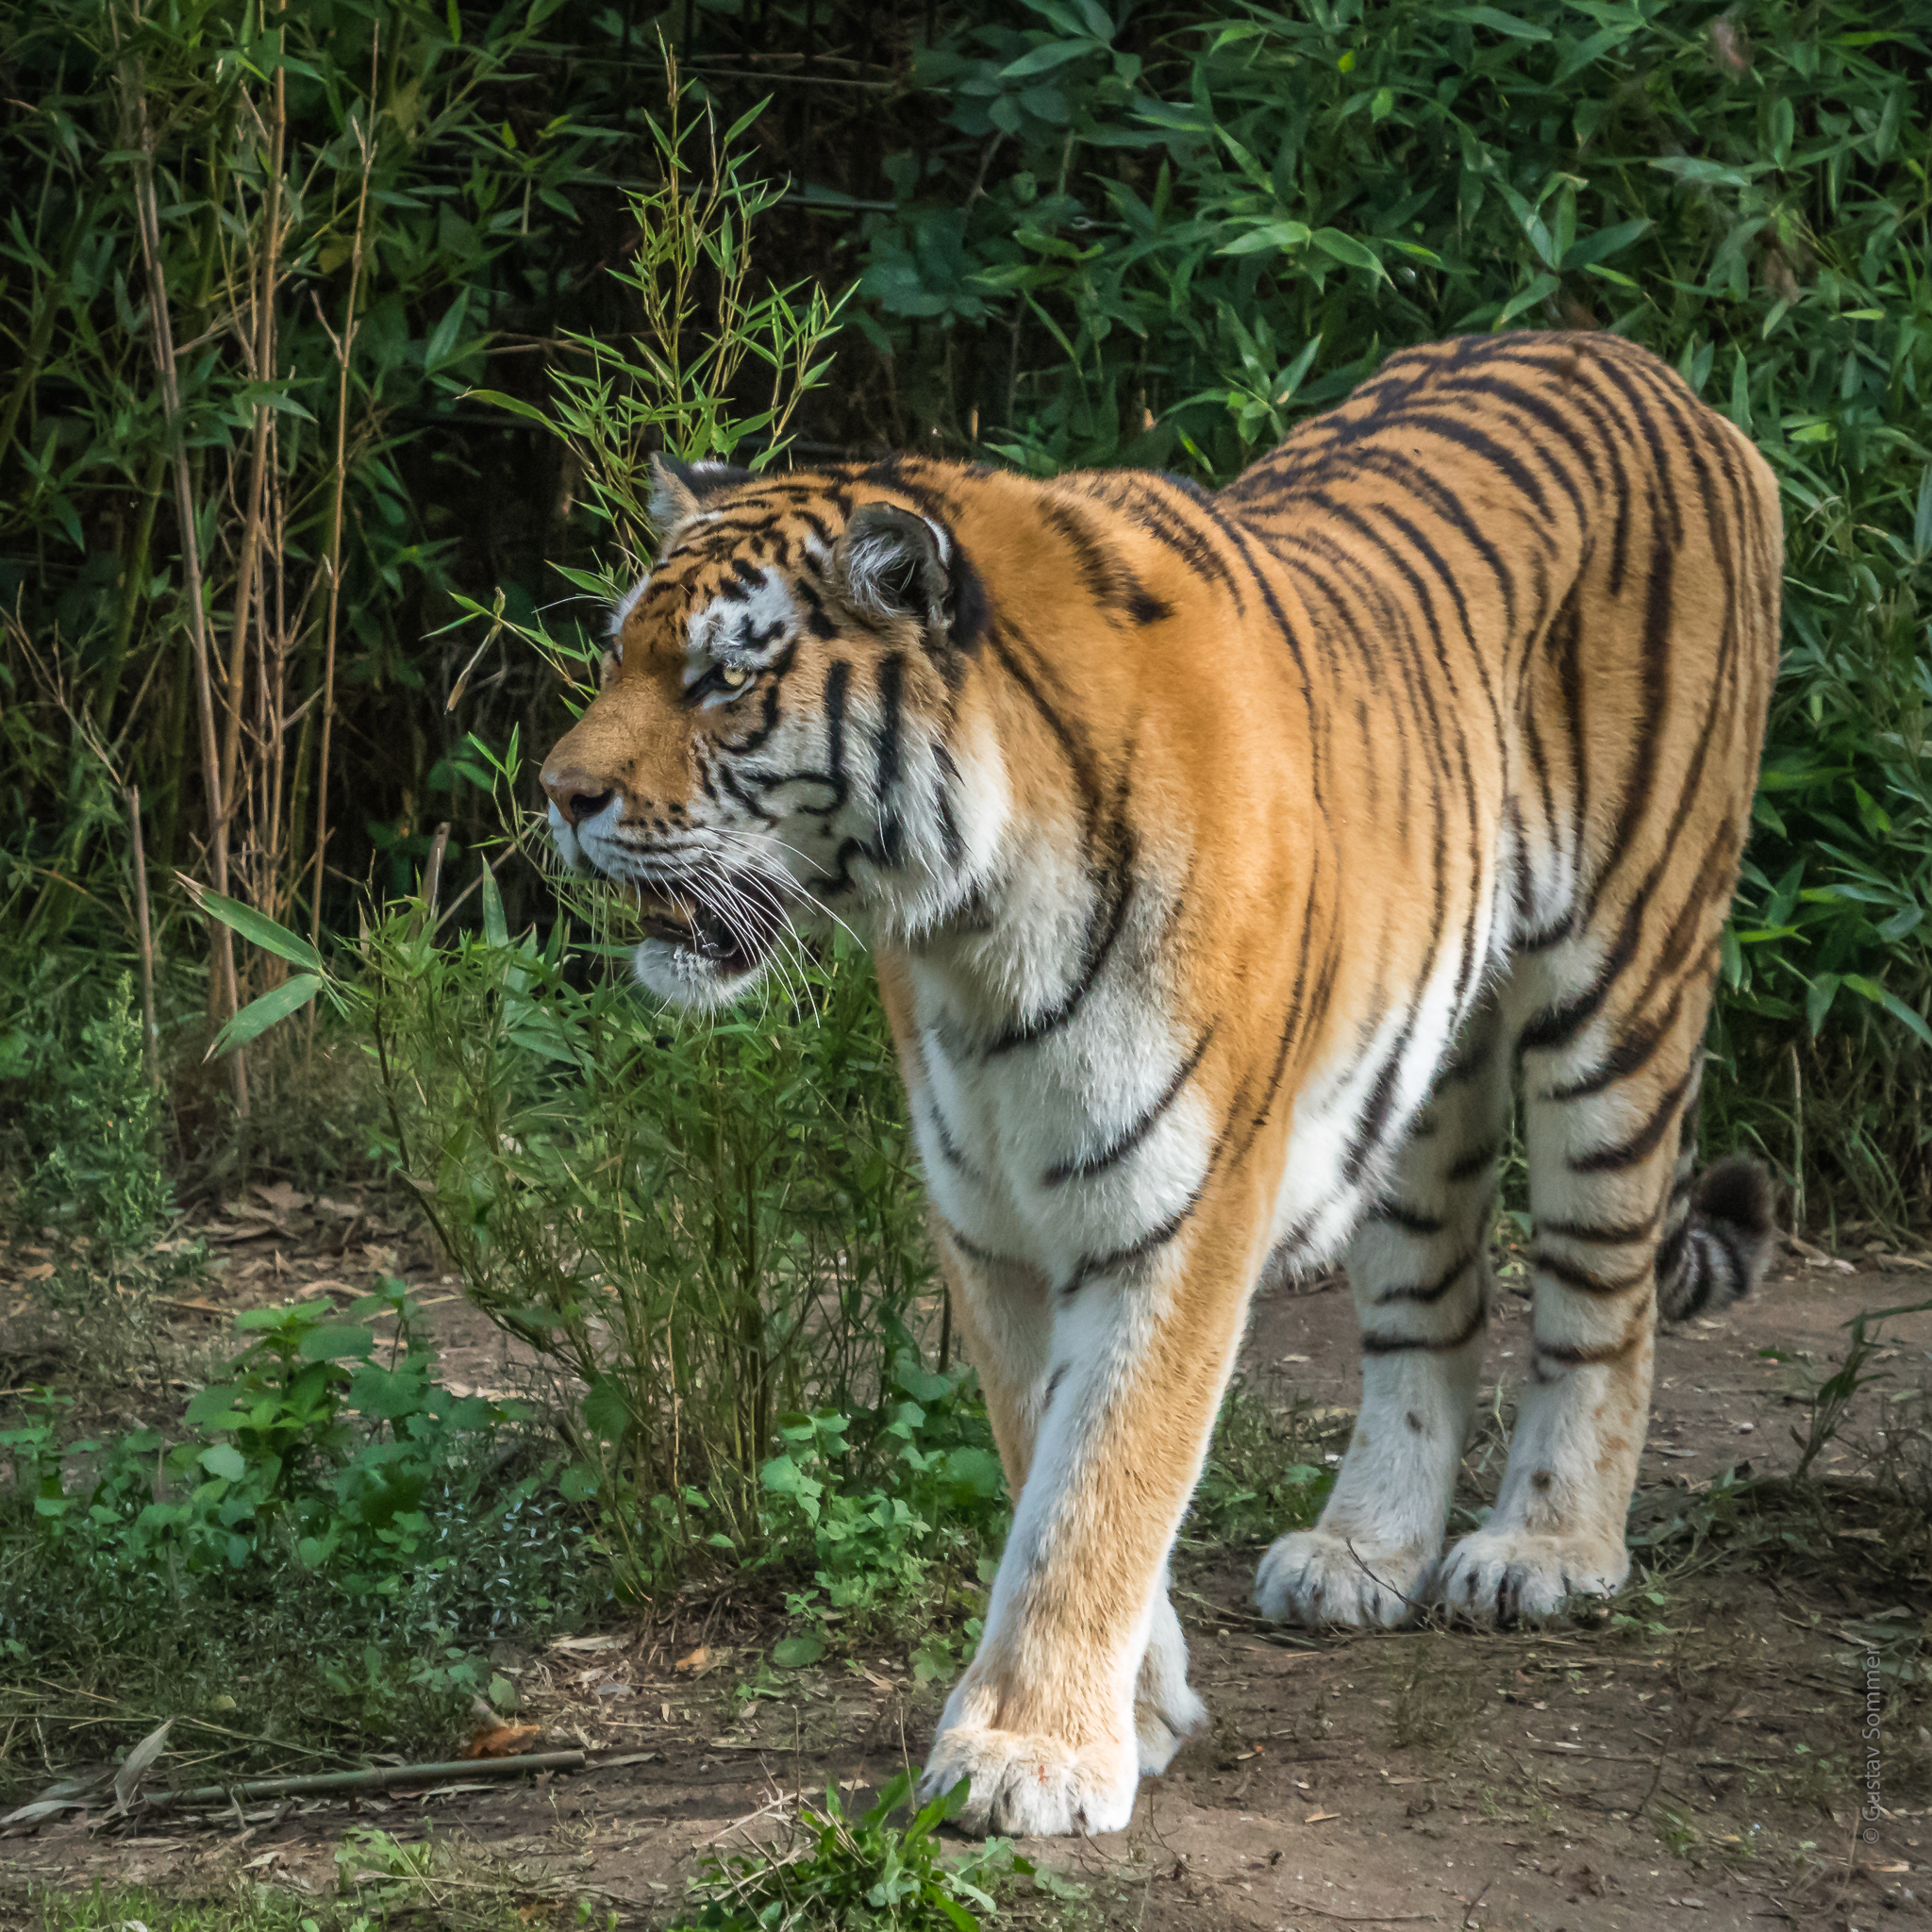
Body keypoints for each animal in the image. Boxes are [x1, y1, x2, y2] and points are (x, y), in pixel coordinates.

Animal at [541, 329, 1781, 1838]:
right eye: (618, 656)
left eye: (722, 680)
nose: (555, 793)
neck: (974, 929)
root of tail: (1644, 365)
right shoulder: (989, 1216)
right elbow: (1041, 1450)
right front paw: (1132, 1707)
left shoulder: (1183, 1204)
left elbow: (1107, 1470)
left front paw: (1029, 1754)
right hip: (1420, 1077)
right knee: (1428, 1311)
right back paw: (1361, 1555)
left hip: (1622, 983)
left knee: (1602, 1293)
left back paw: (1544, 1549)